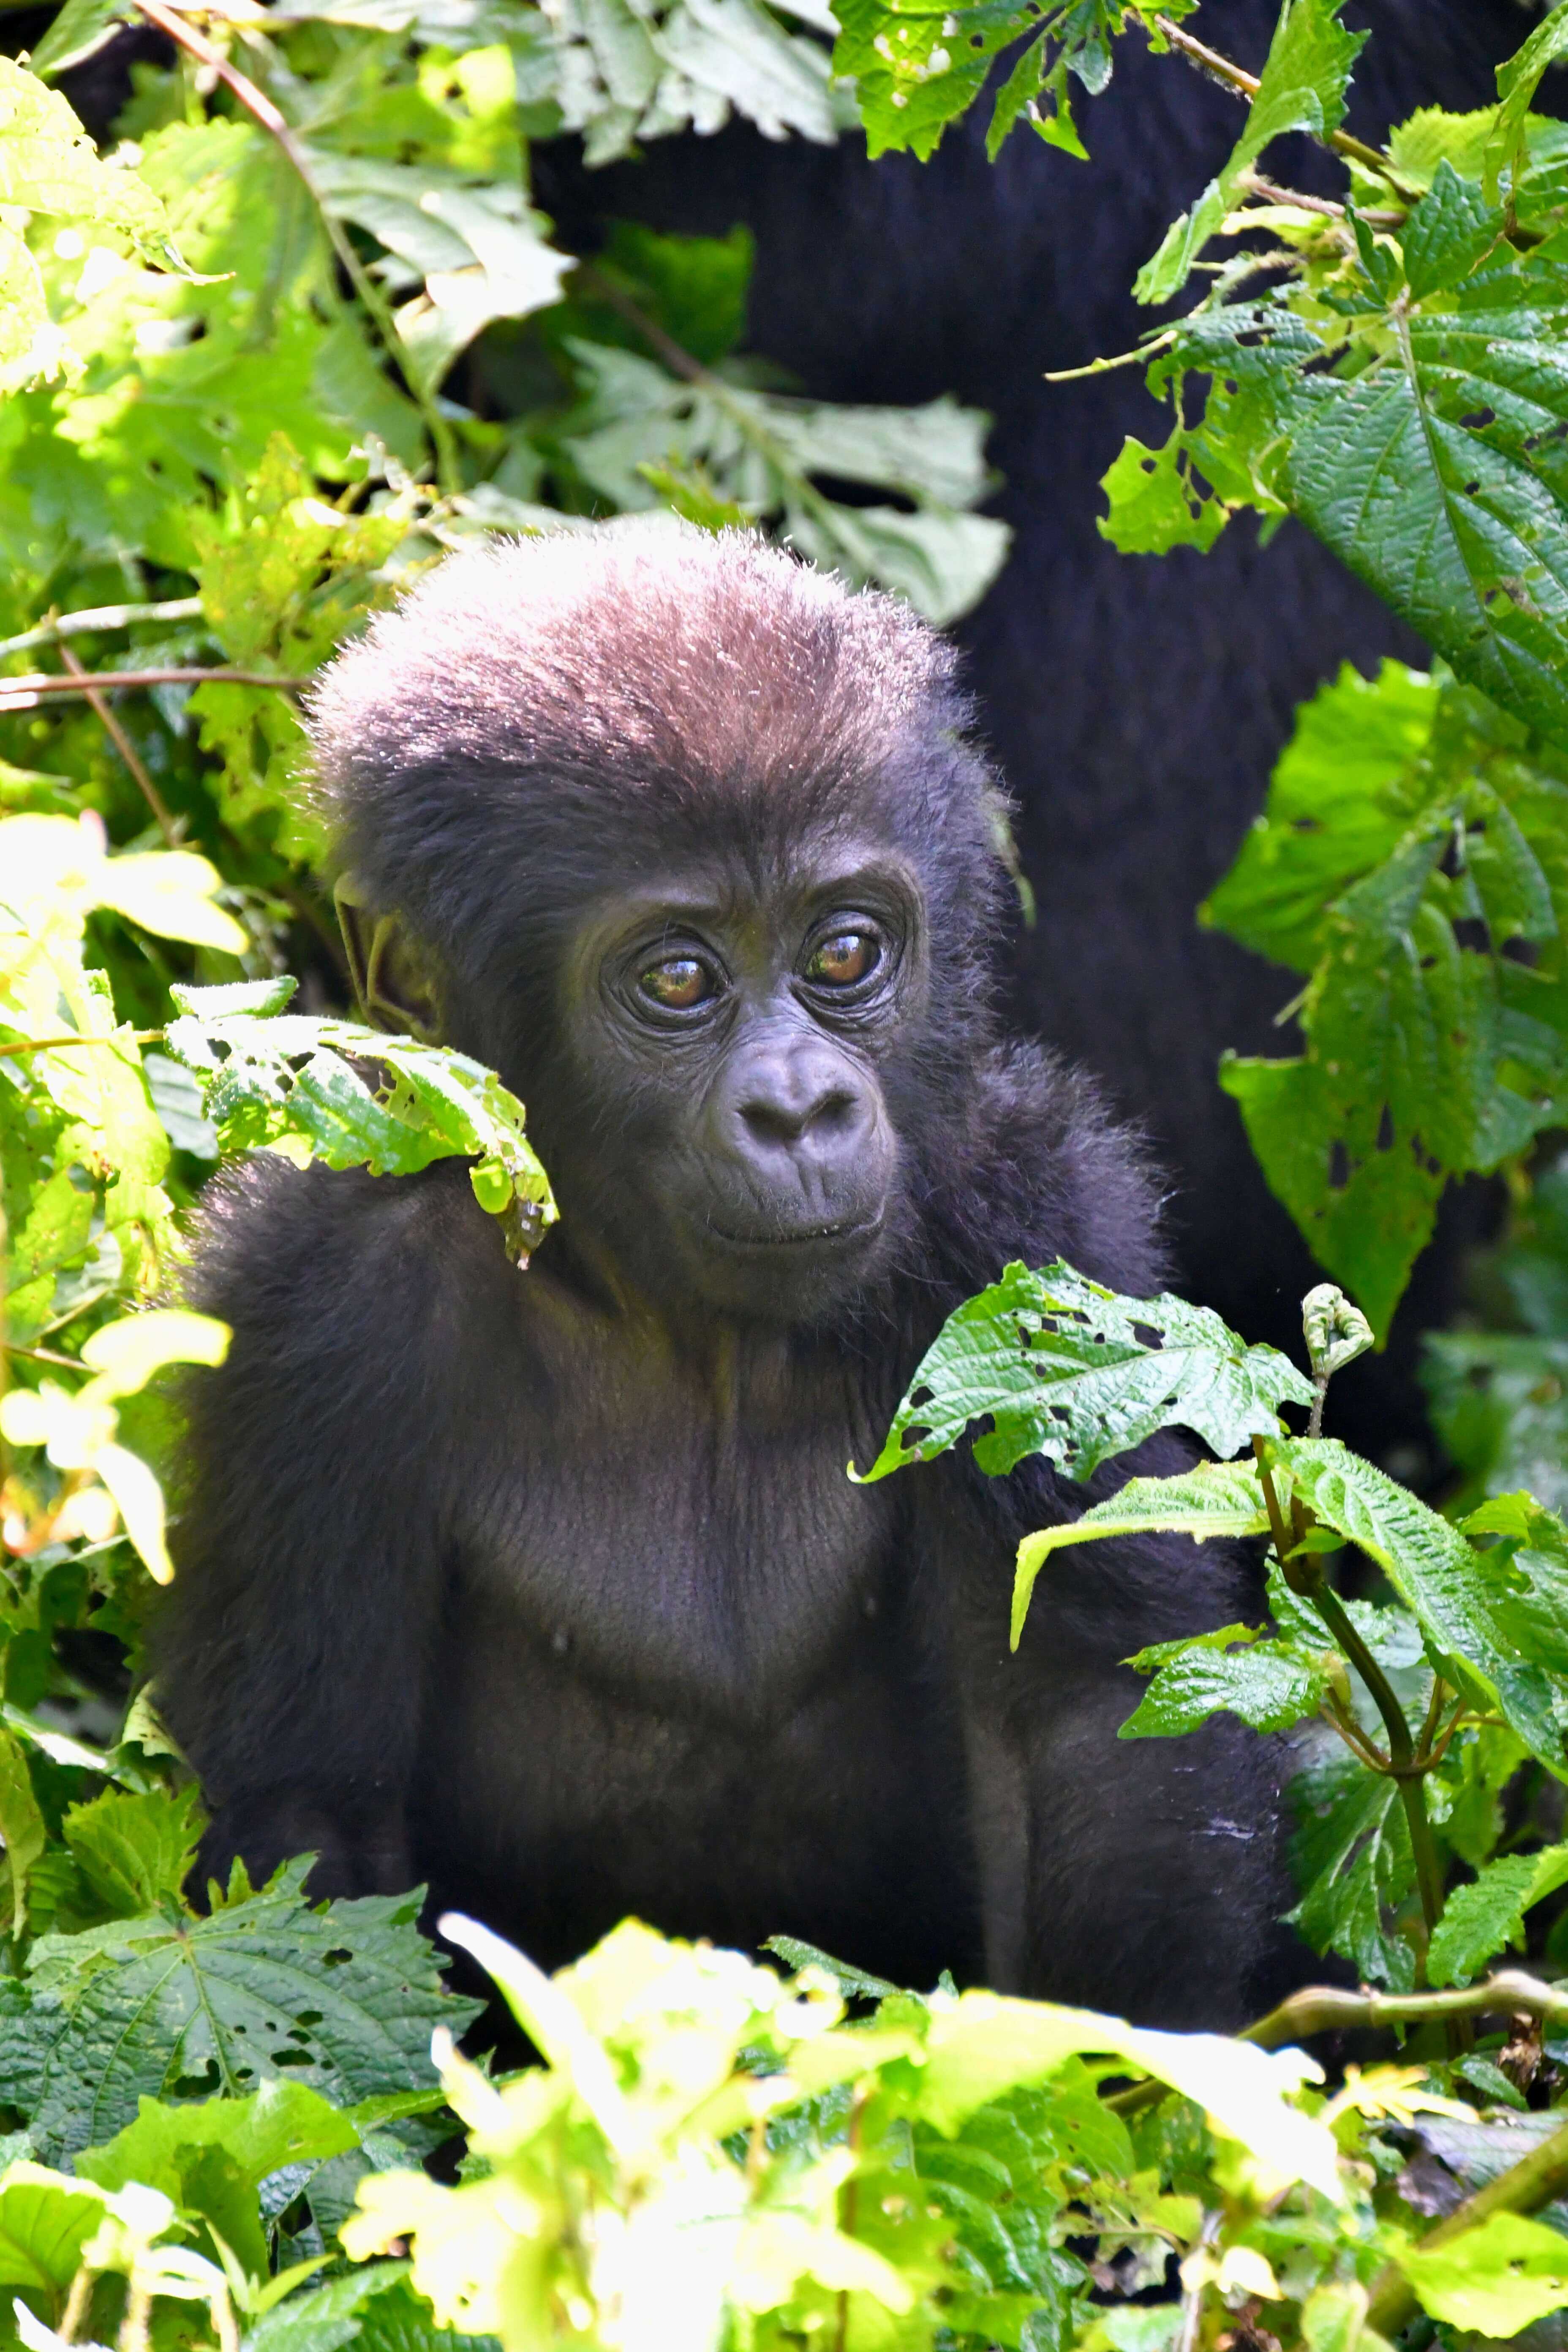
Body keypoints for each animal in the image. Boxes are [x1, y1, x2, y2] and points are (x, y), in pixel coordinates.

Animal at [157, 521, 1286, 2028]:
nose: (800, 1110)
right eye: (680, 980)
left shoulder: (1031, 1223)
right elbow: (311, 1832)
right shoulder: (306, 1303)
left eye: (846, 950)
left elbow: (1092, 1729)